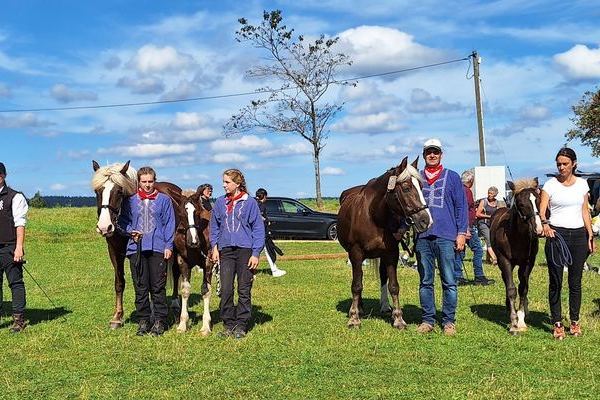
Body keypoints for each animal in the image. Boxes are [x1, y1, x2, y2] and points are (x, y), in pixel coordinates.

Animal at [338, 156, 432, 328]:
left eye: (421, 187)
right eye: (406, 188)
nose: (425, 220)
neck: (373, 216)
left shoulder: (391, 254)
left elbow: (393, 286)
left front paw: (398, 318)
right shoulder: (356, 253)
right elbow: (357, 285)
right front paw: (354, 318)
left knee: (382, 276)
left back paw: (384, 306)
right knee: (359, 278)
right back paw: (359, 308)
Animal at [492, 179, 544, 334]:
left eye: (538, 200)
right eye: (521, 204)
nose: (539, 229)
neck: (516, 236)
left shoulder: (528, 263)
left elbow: (523, 289)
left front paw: (521, 321)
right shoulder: (505, 261)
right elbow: (511, 289)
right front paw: (513, 322)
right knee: (506, 281)